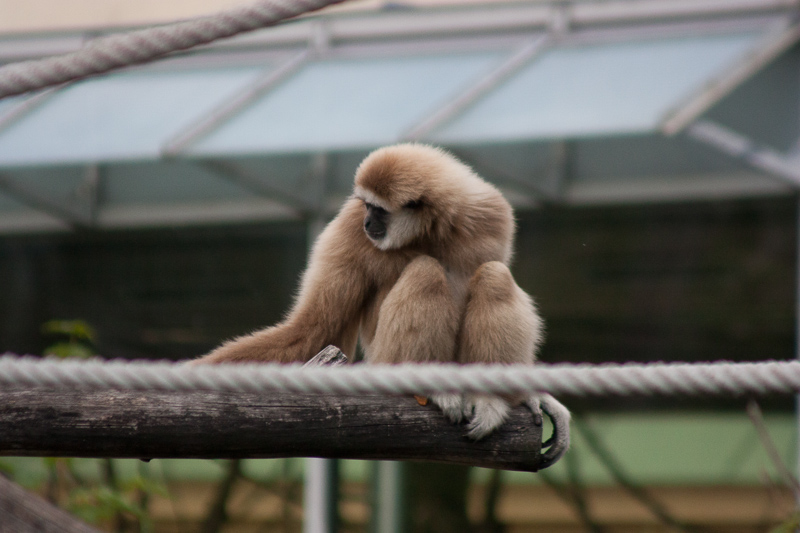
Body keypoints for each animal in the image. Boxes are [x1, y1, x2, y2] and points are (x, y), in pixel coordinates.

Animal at [197, 143, 569, 465]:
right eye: (365, 206)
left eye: (377, 210)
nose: (367, 222)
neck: (429, 231)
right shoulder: (347, 227)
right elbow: (315, 326)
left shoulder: (492, 216)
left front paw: (533, 396)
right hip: (384, 358)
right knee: (425, 272)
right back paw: (431, 384)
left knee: (494, 275)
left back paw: (489, 398)